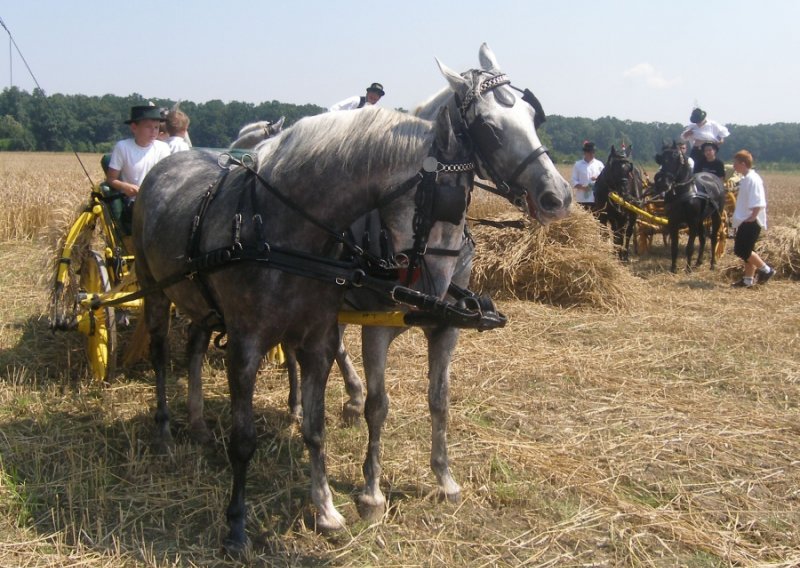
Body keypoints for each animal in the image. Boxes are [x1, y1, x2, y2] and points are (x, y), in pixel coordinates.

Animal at [652, 143, 728, 274]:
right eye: (661, 158)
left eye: (676, 158)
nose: (663, 184)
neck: (682, 192)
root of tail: (713, 177)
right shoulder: (673, 221)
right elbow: (674, 246)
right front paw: (673, 268)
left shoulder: (692, 221)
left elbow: (690, 247)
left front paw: (688, 269)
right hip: (701, 219)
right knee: (703, 238)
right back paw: (698, 262)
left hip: (716, 215)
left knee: (713, 238)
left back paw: (712, 264)